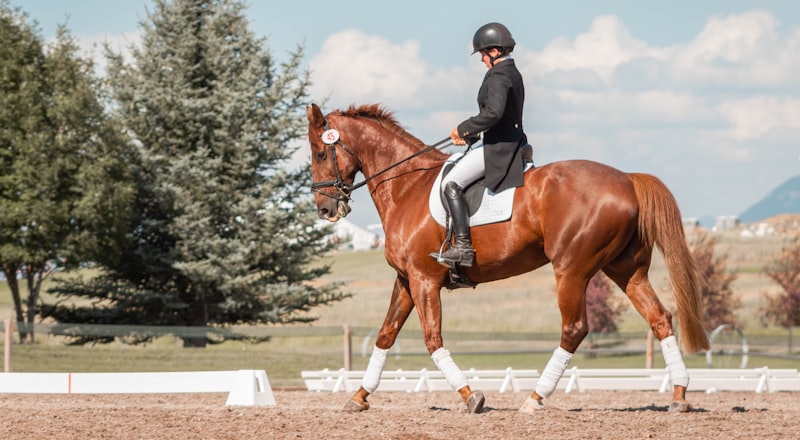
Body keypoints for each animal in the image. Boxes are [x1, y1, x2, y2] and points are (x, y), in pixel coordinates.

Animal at [306, 103, 709, 414]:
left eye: (321, 153)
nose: (325, 209)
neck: (406, 186)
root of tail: (627, 179)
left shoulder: (424, 280)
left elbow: (432, 339)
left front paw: (471, 396)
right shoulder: (406, 279)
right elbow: (386, 334)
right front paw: (359, 397)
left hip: (571, 270)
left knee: (574, 329)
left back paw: (535, 398)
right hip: (626, 270)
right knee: (659, 318)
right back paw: (679, 395)